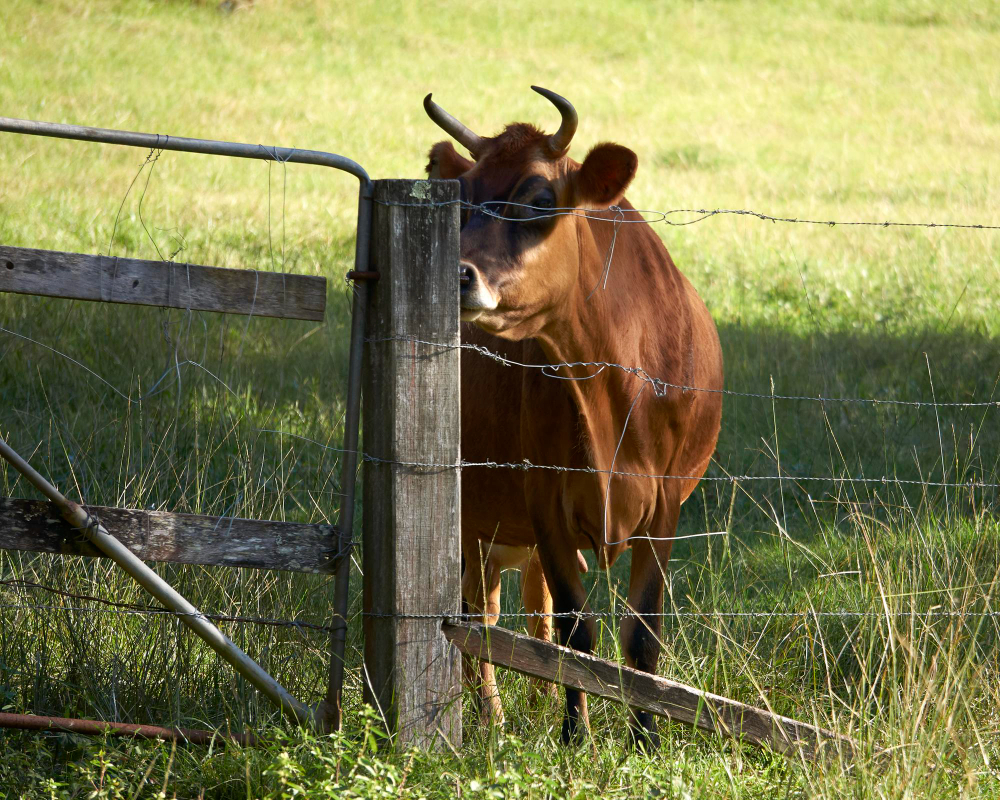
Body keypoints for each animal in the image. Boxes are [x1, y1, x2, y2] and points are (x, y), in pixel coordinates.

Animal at [426, 87, 724, 744]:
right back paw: (489, 714)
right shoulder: (544, 500)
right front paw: (575, 736)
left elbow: (641, 636)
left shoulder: (666, 505)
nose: (456, 274)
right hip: (470, 511)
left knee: (518, 608)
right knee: (478, 612)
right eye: (462, 198)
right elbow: (577, 632)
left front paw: (645, 737)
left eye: (539, 199)